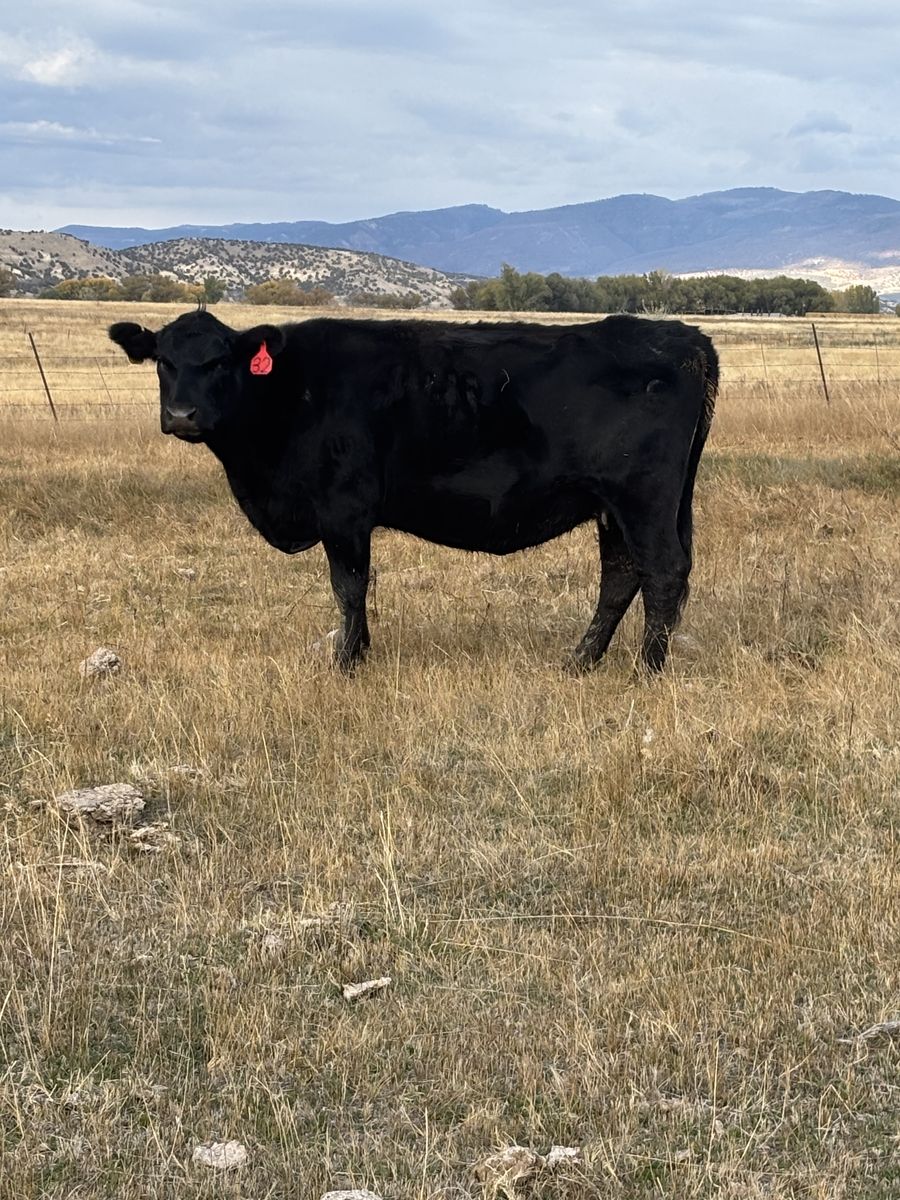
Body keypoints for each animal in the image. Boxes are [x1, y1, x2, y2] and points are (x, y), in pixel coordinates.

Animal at [109, 310, 717, 673]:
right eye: (163, 361)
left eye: (218, 361)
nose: (181, 415)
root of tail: (683, 336)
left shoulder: (343, 510)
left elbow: (349, 587)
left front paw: (347, 662)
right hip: (610, 505)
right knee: (620, 575)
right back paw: (580, 661)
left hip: (642, 498)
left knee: (662, 570)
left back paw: (647, 669)